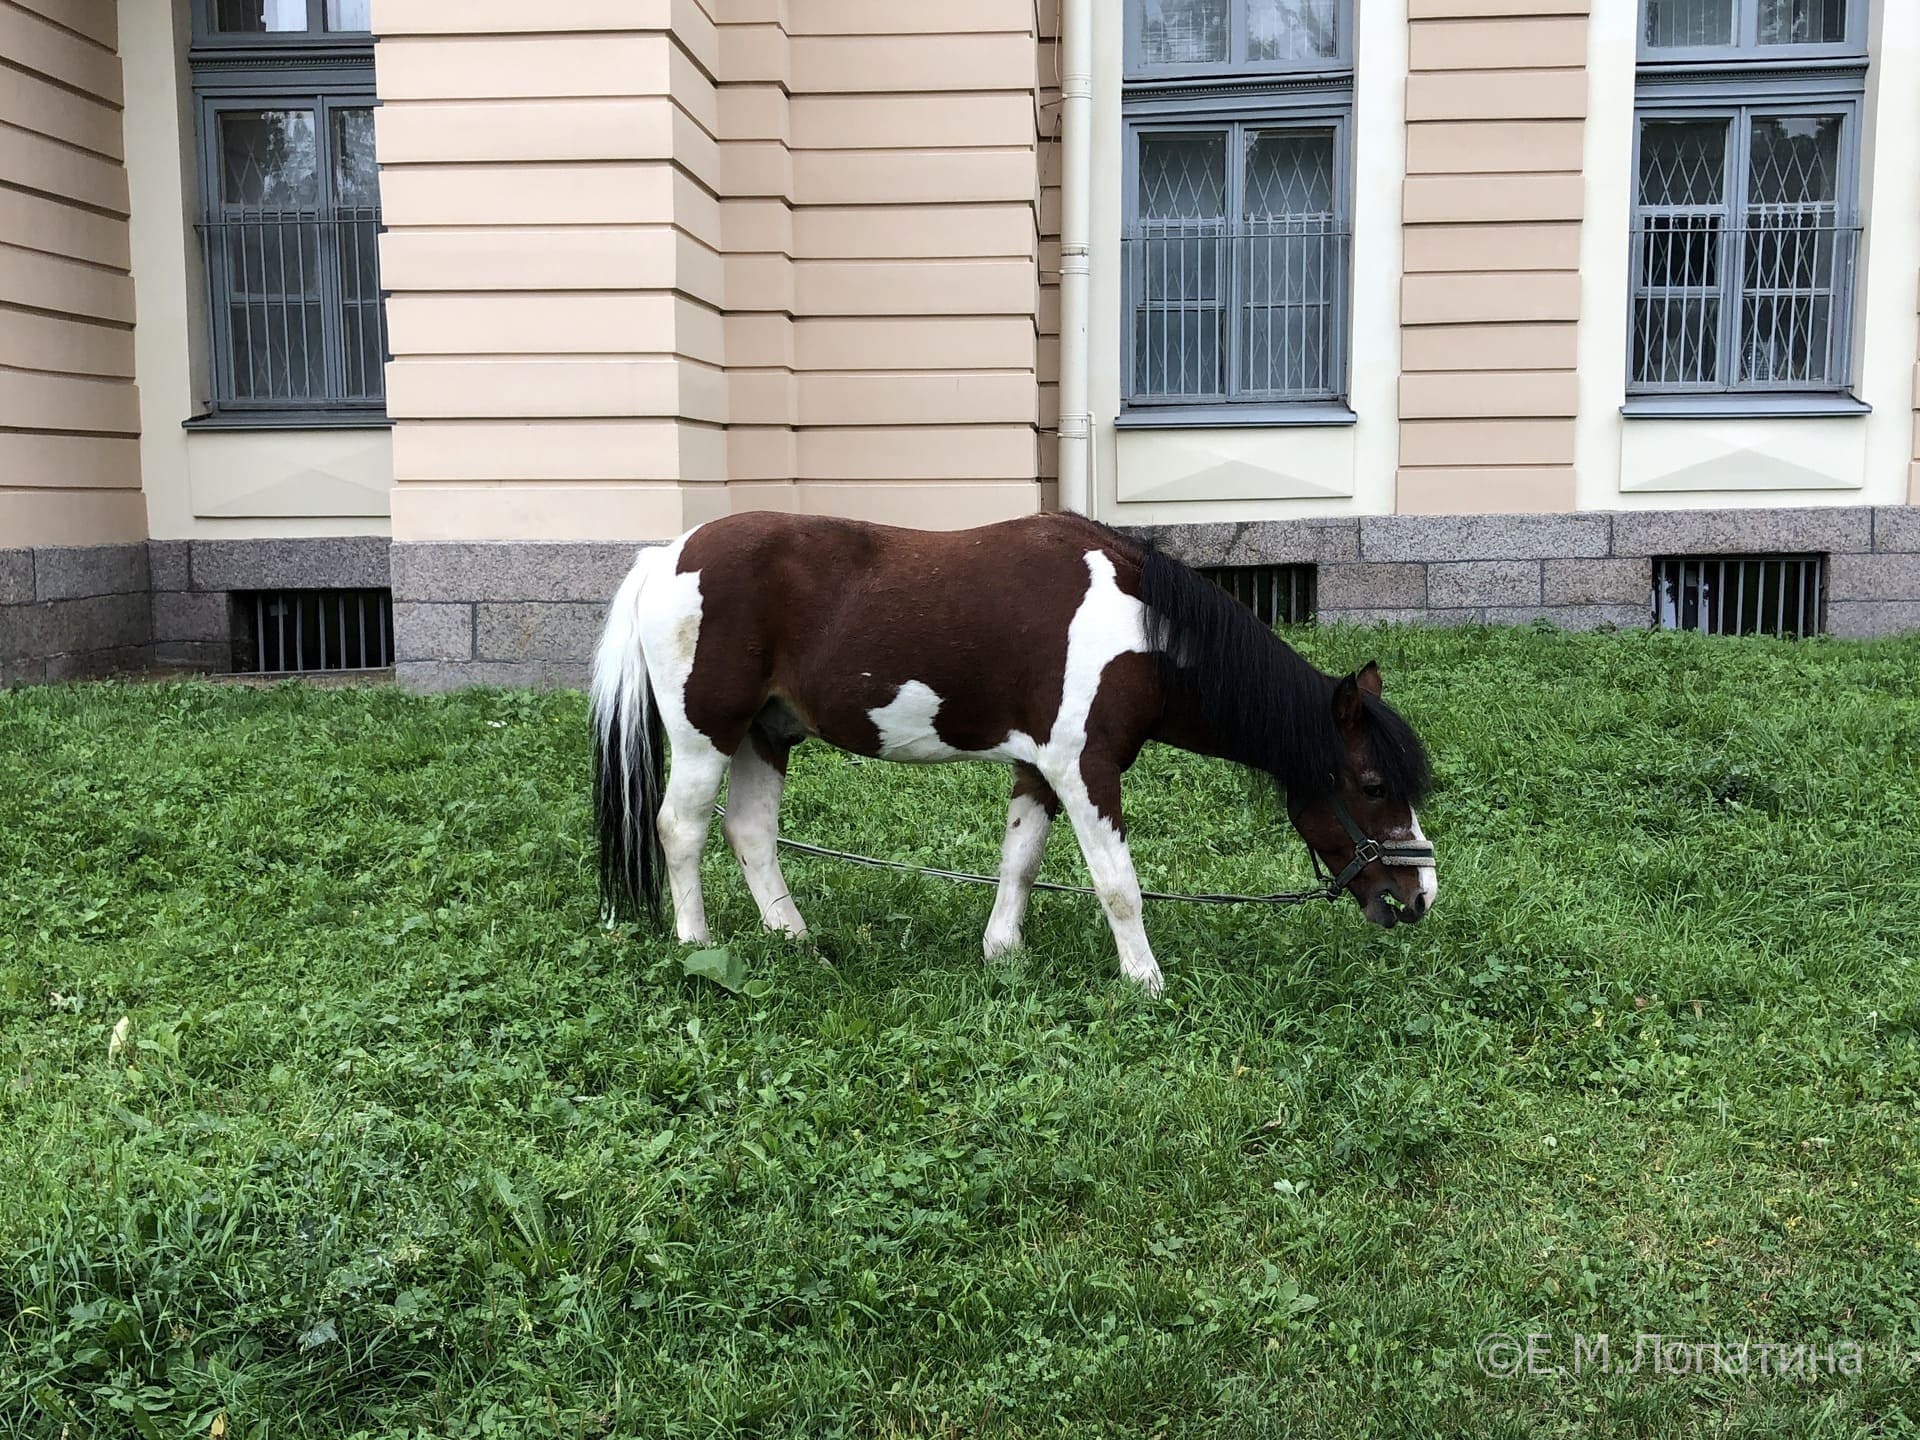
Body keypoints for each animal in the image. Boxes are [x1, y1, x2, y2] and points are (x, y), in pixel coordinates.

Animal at [591, 514, 1436, 998]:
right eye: (1370, 783)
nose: (1421, 896)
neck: (1139, 629)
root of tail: (667, 555)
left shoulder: (1040, 768)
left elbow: (1020, 862)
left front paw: (1002, 952)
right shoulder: (1085, 769)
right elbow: (1117, 885)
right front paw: (1146, 981)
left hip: (766, 734)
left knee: (751, 833)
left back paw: (794, 940)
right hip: (706, 735)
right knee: (681, 830)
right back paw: (697, 945)